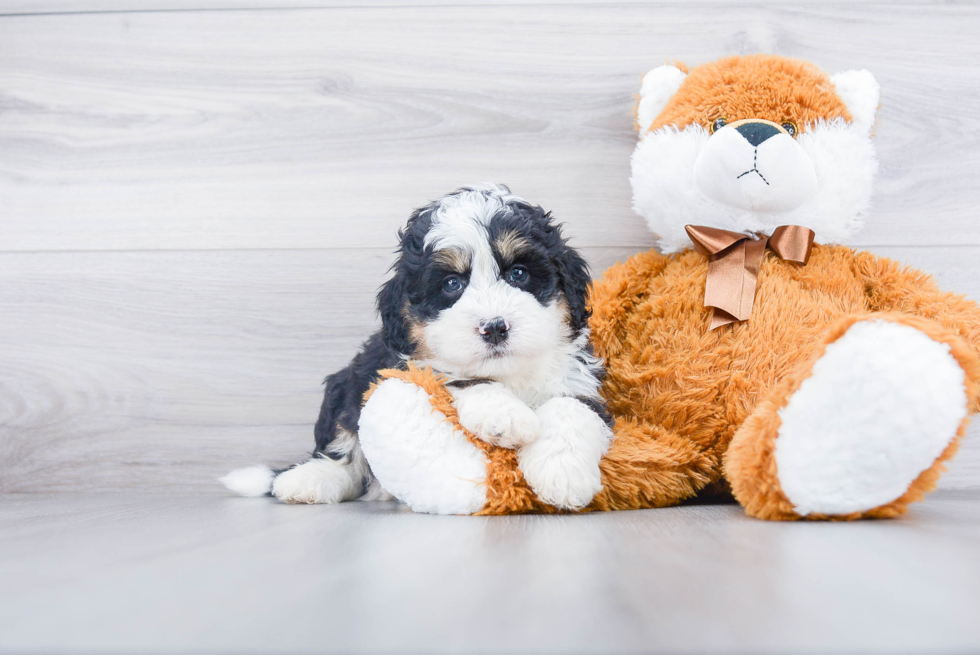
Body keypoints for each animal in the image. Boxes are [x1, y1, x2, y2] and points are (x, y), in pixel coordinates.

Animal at [222, 184, 612, 512]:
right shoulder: (408, 363)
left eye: (518, 274)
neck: (509, 373)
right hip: (345, 385)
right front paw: (505, 417)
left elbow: (571, 408)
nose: (494, 327)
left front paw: (563, 475)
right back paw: (309, 480)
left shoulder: (579, 378)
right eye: (452, 283)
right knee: (344, 449)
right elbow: (458, 376)